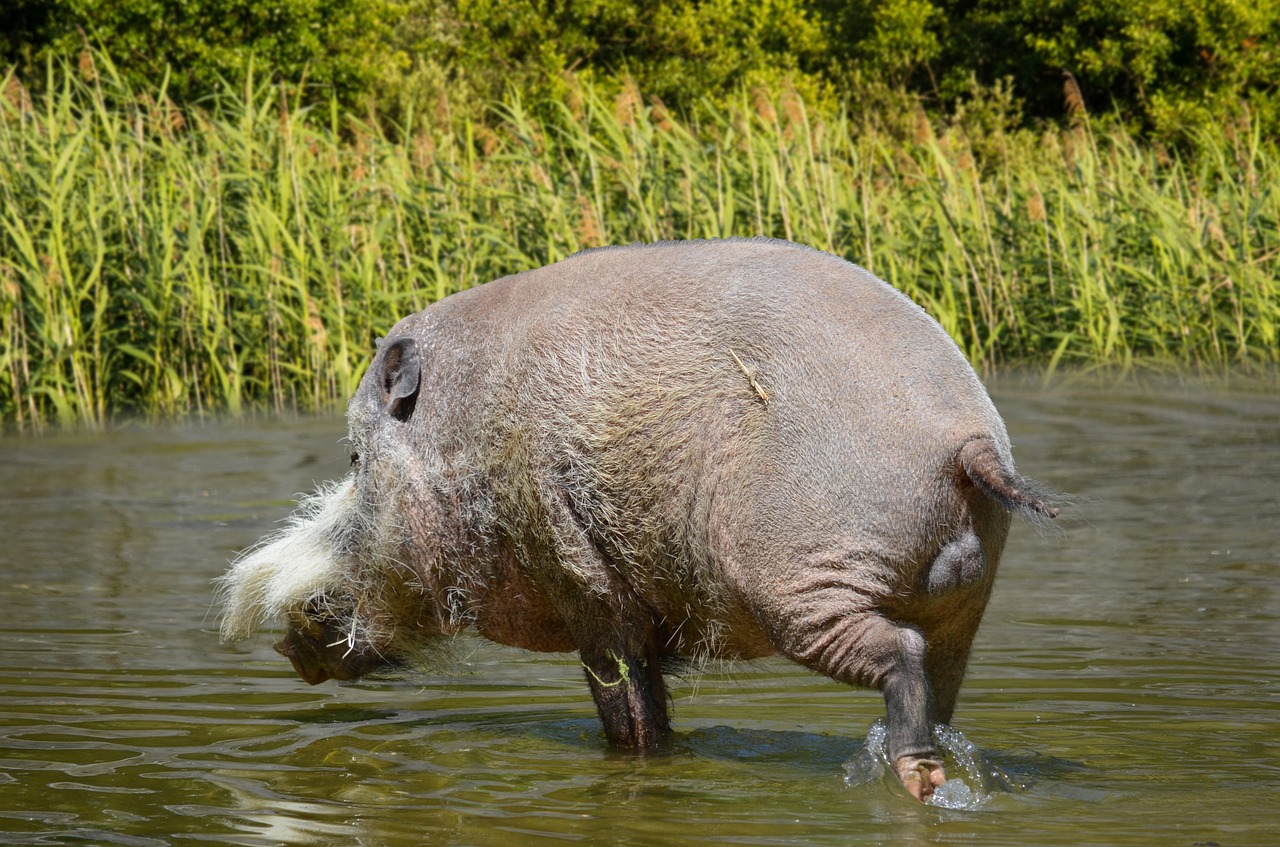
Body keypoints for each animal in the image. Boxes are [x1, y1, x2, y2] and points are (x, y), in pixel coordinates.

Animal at [217, 236, 1059, 803]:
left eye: (356, 458)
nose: (288, 644)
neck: (469, 436)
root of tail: (967, 436)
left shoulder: (580, 572)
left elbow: (627, 711)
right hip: (963, 608)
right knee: (938, 686)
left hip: (799, 586)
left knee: (900, 657)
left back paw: (916, 782)